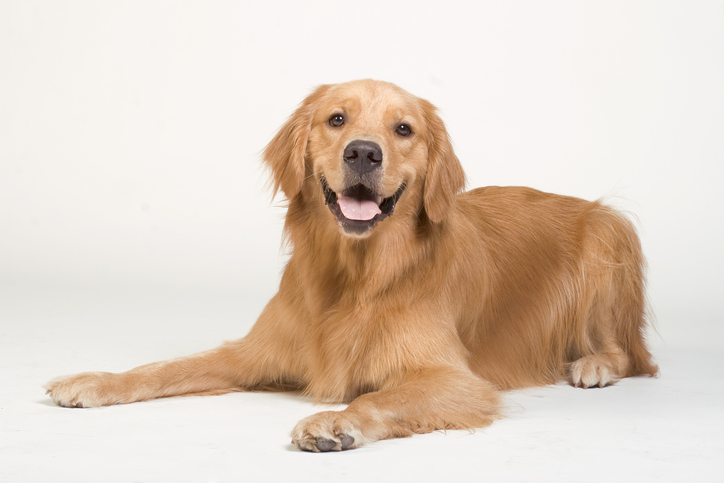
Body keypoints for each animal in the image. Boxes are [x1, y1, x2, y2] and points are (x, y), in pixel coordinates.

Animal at [43, 77, 656, 452]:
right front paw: (96, 380)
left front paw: (336, 421)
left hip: (610, 235)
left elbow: (379, 395)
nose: (363, 151)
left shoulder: (457, 380)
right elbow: (167, 368)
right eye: (337, 119)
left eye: (404, 129)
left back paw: (594, 365)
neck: (355, 277)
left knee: (628, 352)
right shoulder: (254, 352)